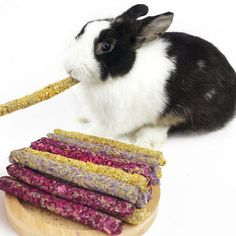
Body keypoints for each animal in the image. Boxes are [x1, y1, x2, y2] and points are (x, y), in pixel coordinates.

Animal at [63, 3, 236, 148]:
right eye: (82, 31)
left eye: (106, 46)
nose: (69, 68)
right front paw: (83, 118)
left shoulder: (115, 119)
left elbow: (101, 131)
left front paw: (86, 136)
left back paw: (147, 139)